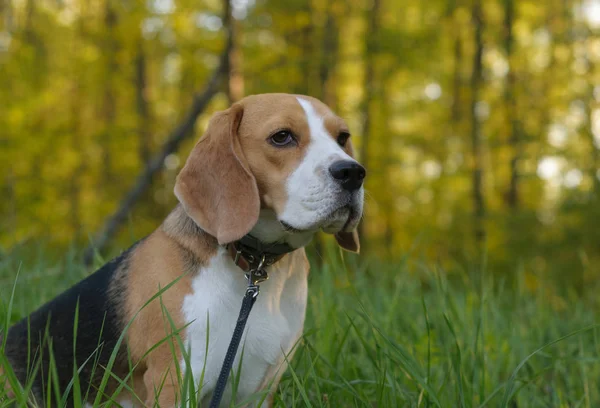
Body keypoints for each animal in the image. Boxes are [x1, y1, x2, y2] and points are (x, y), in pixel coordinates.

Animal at [1, 94, 366, 406]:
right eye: (282, 137)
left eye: (342, 137)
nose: (353, 172)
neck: (256, 264)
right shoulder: (175, 379)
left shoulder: (260, 388)